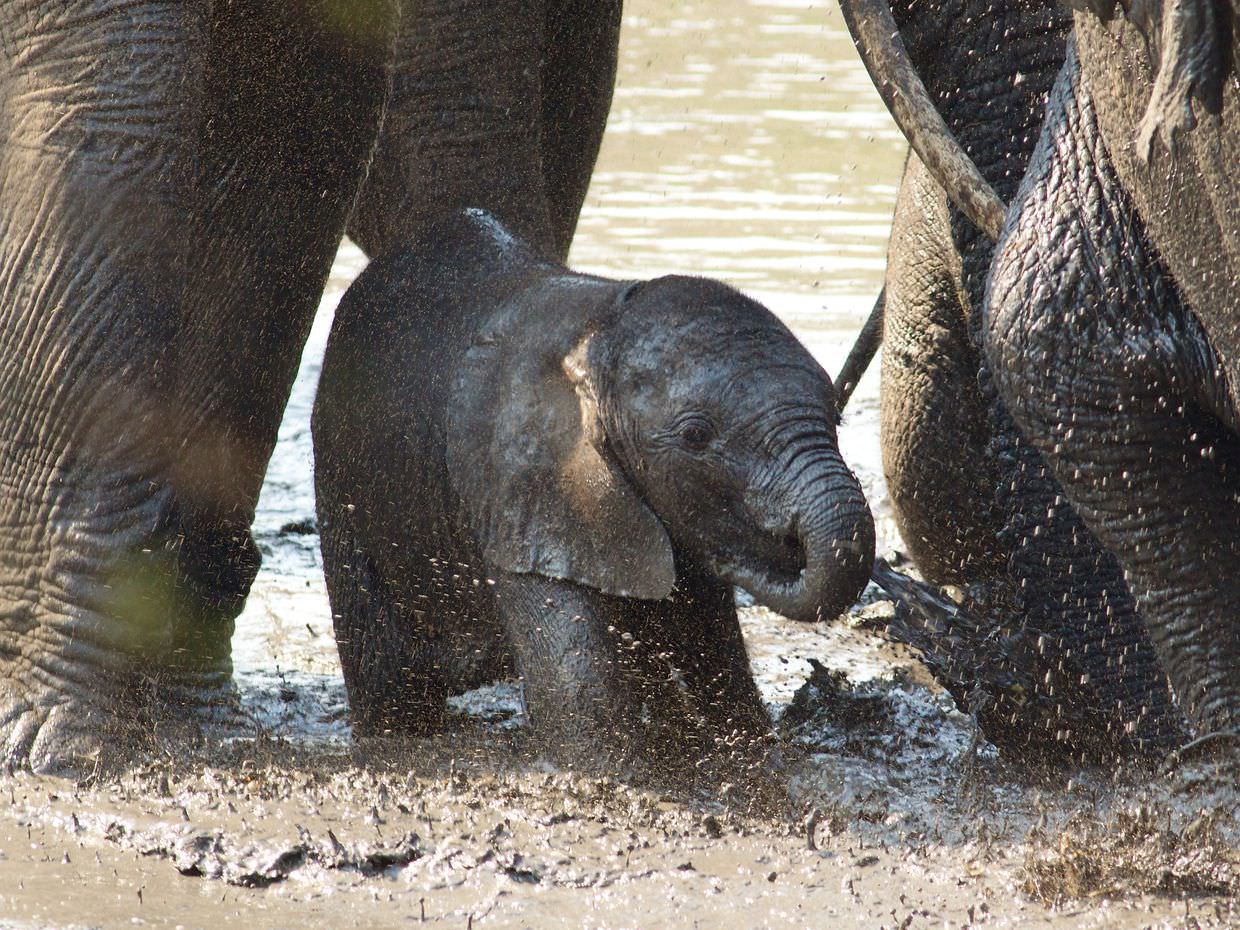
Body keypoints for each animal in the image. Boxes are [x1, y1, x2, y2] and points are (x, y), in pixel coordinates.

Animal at [312, 210, 872, 778]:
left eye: (837, 415)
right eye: (695, 436)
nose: (773, 547)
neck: (596, 332)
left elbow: (713, 660)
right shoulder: (517, 491)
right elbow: (585, 707)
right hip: (340, 472)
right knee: (385, 674)